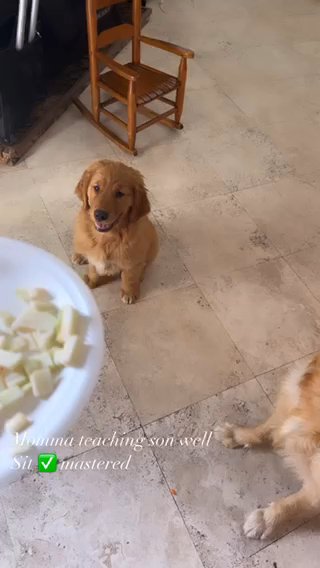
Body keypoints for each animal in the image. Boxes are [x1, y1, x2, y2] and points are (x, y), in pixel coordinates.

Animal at [72, 160, 158, 304]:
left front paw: (129, 292)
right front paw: (92, 281)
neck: (106, 238)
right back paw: (79, 256)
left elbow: (129, 276)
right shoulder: (93, 255)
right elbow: (93, 269)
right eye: (96, 188)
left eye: (120, 193)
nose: (99, 215)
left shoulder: (132, 259)